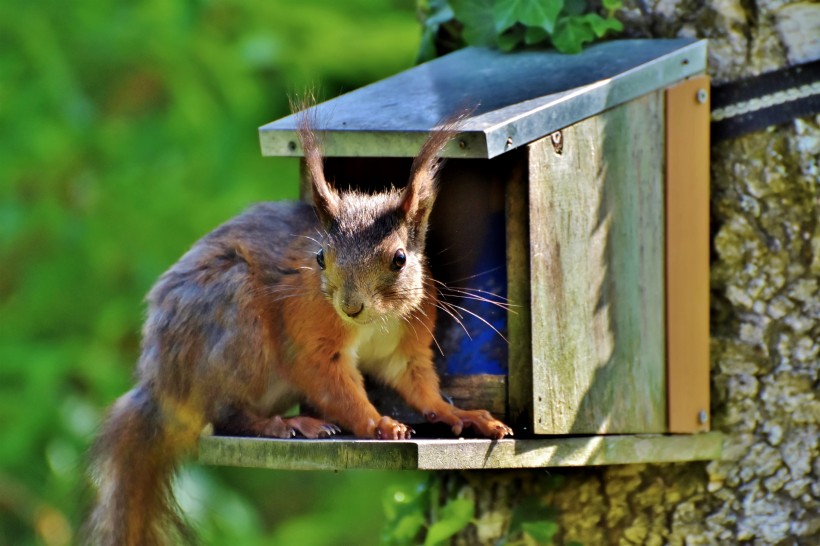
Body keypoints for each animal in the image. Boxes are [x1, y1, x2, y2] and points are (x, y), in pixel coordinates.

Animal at [88, 108, 512, 540]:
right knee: (225, 415)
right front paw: (379, 422)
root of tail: (161, 388)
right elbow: (331, 383)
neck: (375, 322)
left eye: (400, 259)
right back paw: (287, 424)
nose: (350, 306)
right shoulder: (310, 335)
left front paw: (459, 414)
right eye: (320, 257)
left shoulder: (404, 346)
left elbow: (417, 384)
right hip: (237, 324)